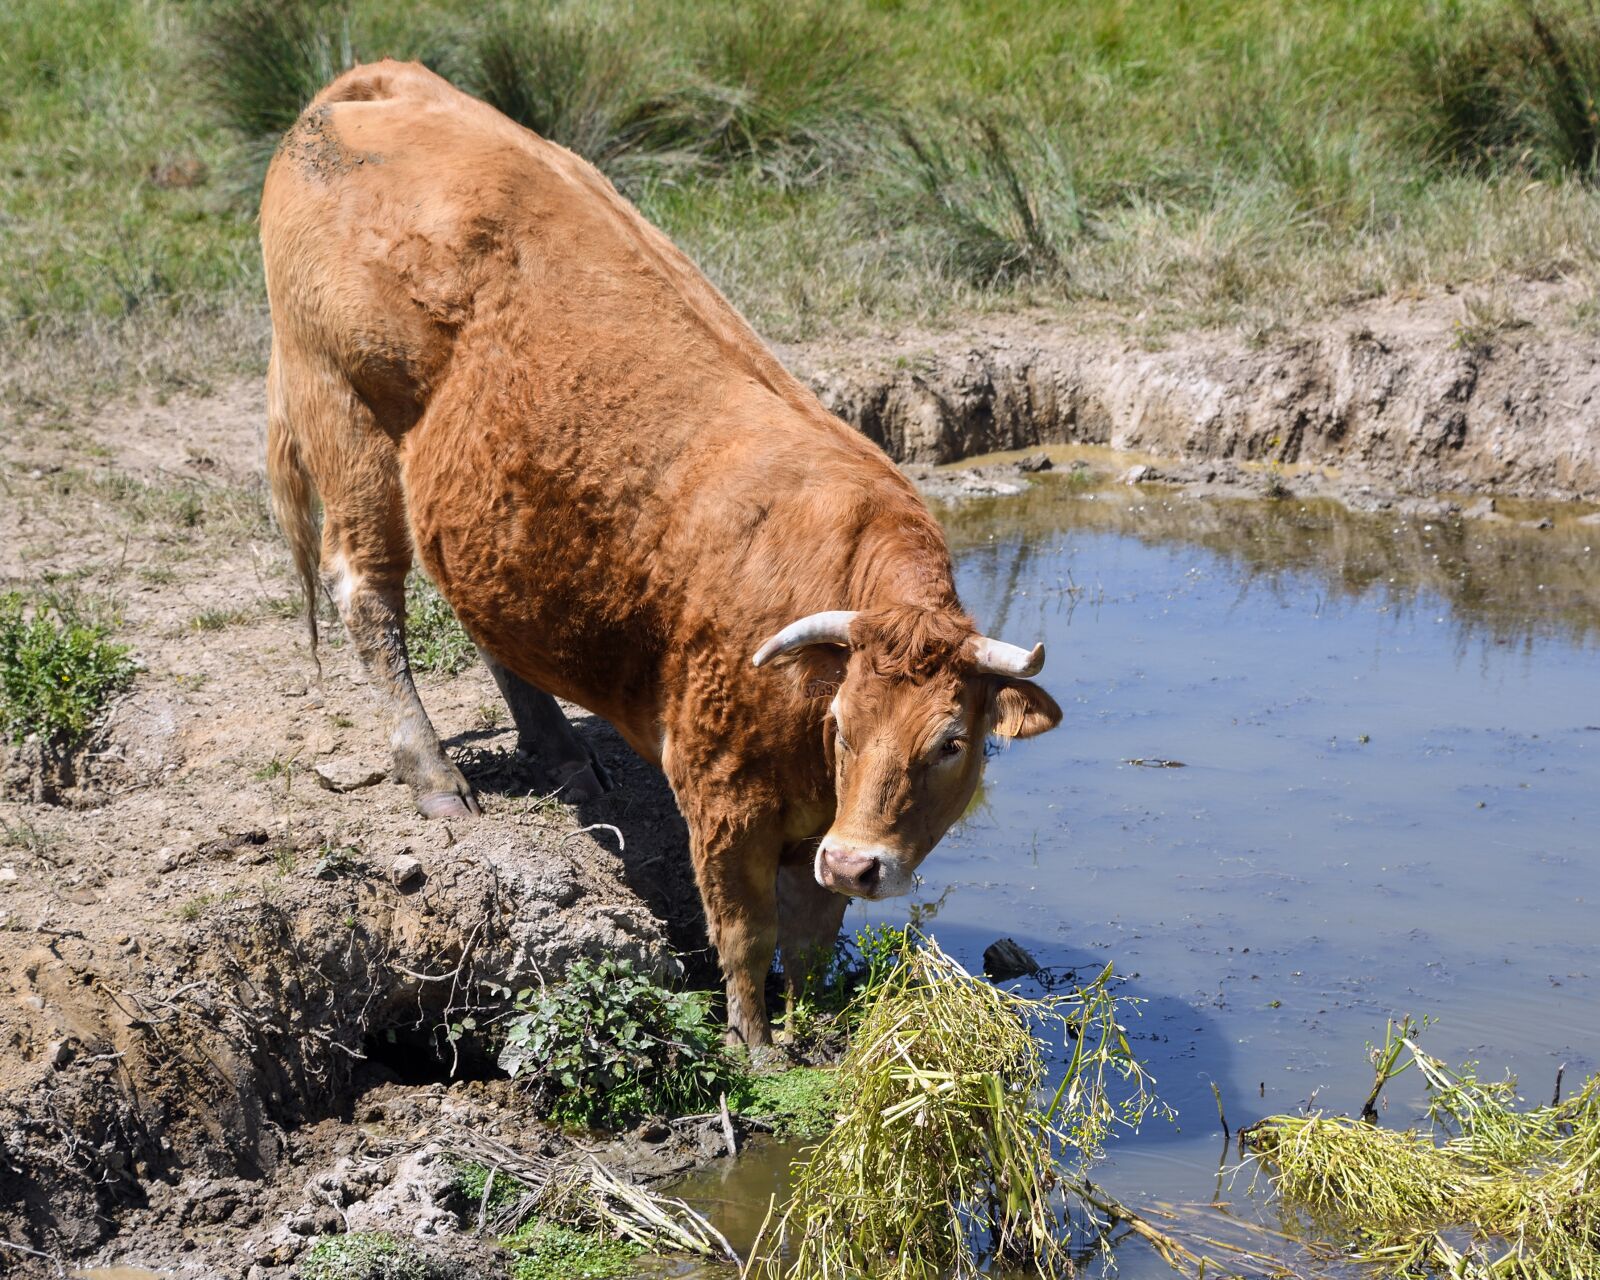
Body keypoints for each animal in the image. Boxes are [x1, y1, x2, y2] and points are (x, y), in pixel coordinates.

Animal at [261, 61, 1062, 1045]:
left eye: (952, 742)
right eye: (844, 725)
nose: (859, 862)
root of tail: (375, 81)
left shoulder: (814, 835)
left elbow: (811, 935)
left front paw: (817, 1030)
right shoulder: (722, 800)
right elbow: (746, 934)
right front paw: (757, 1047)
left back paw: (560, 749)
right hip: (345, 418)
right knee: (367, 597)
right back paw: (434, 774)